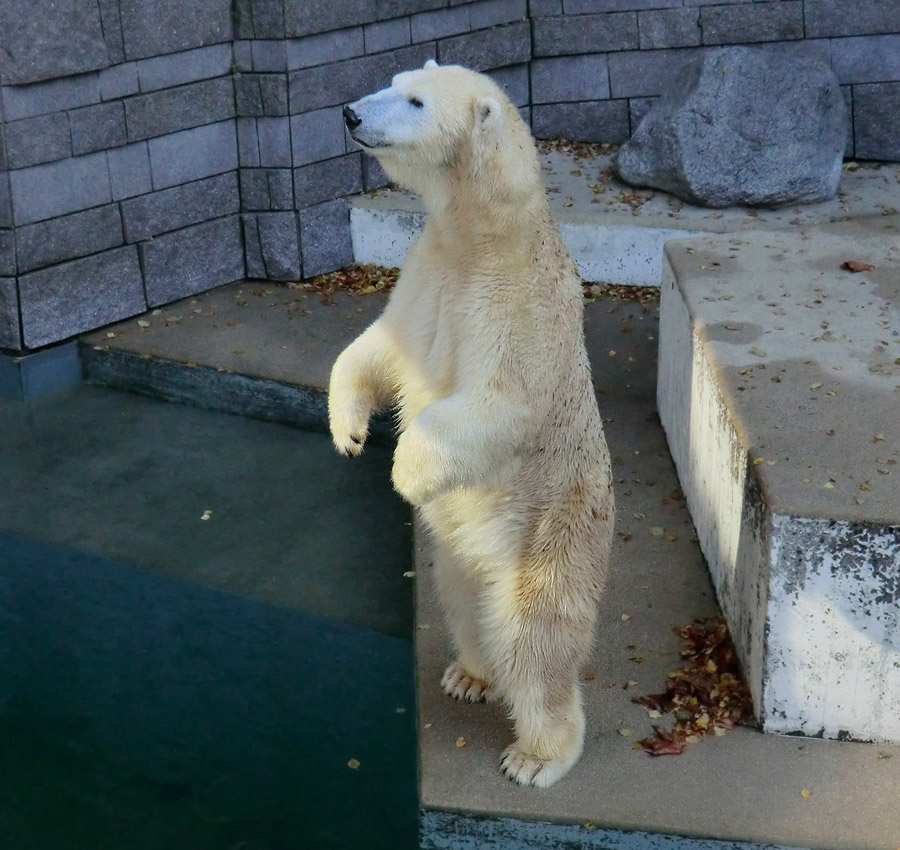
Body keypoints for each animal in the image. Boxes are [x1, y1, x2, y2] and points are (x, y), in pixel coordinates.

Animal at [332, 61, 620, 788]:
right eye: (393, 80)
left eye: (414, 101)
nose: (350, 112)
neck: (481, 235)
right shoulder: (428, 276)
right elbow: (380, 348)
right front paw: (349, 431)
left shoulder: (514, 304)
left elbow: (498, 404)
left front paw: (405, 470)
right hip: (458, 553)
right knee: (465, 604)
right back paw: (470, 674)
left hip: (550, 537)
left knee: (533, 638)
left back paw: (537, 754)